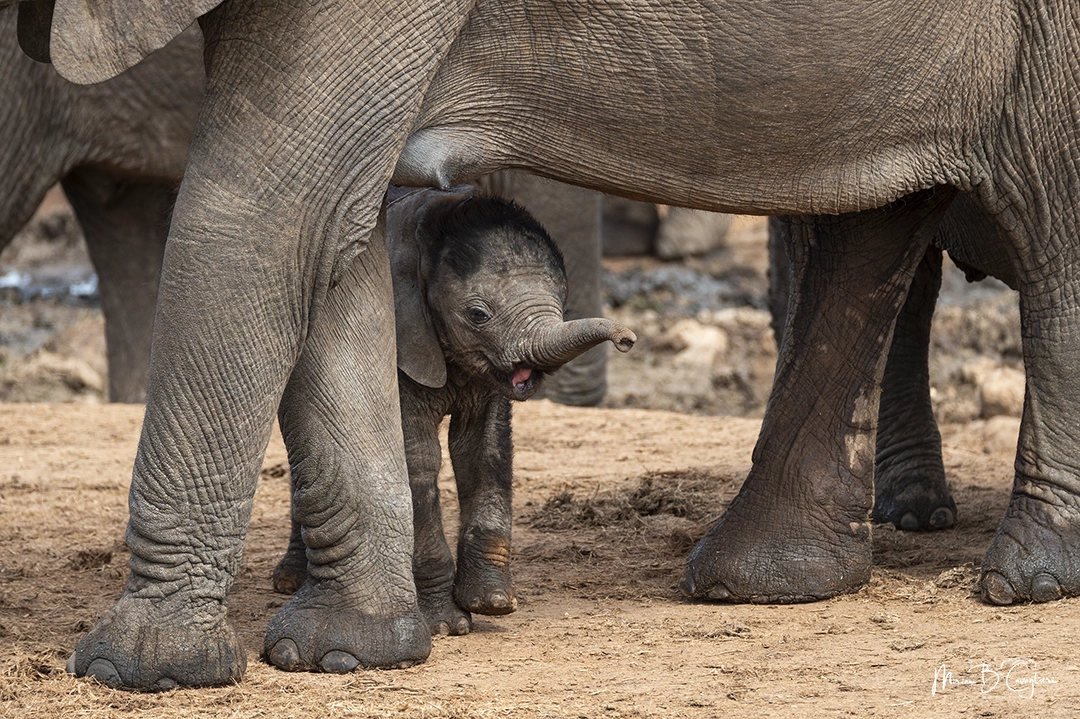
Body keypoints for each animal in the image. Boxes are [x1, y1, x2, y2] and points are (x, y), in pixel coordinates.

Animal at [271, 185, 635, 637]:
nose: (627, 339)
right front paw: (445, 625)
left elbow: (482, 451)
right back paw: (289, 581)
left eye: (563, 306)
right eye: (478, 315)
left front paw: (493, 603)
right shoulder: (402, 343)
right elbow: (418, 459)